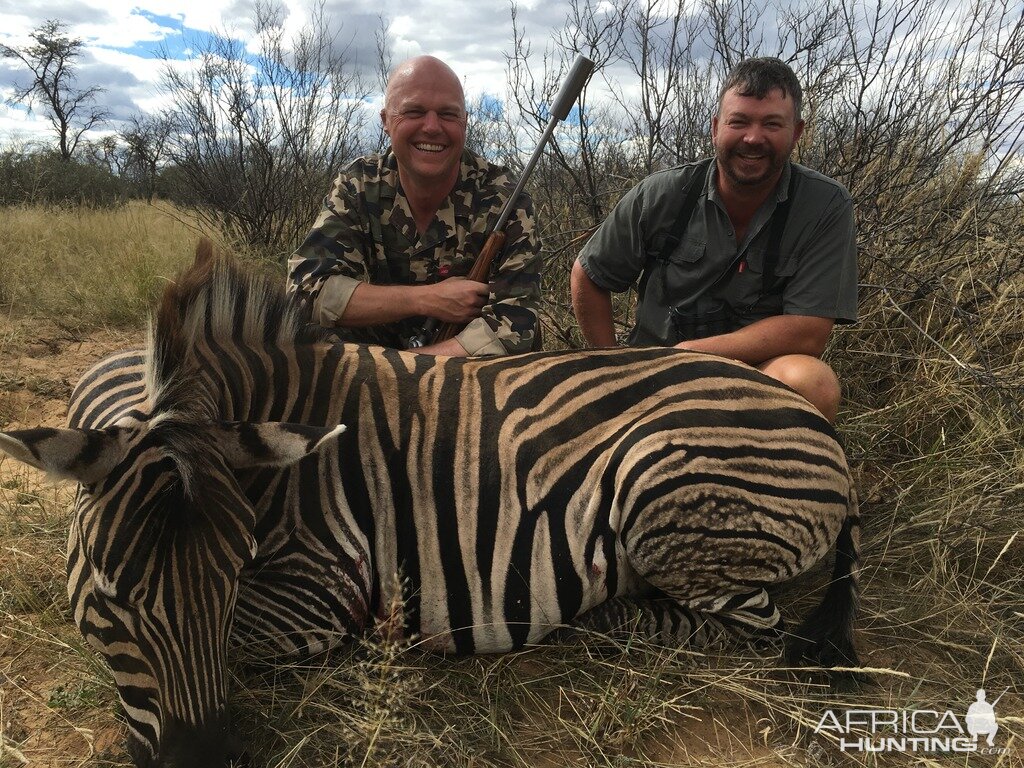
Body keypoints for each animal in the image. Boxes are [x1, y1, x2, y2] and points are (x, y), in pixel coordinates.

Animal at [0, 241, 860, 768]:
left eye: (229, 578)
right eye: (110, 594)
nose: (203, 760)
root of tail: (818, 426)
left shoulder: (322, 585)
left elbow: (255, 638)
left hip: (665, 491)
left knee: (754, 627)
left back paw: (604, 619)